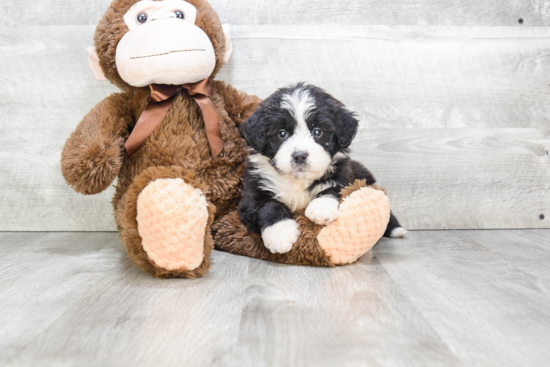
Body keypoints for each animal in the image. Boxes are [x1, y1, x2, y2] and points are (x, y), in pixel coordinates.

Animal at [239, 84, 408, 256]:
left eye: (317, 132)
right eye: (282, 133)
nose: (300, 156)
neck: (298, 180)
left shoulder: (345, 176)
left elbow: (334, 188)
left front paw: (321, 207)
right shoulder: (252, 192)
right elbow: (268, 205)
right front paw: (280, 234)